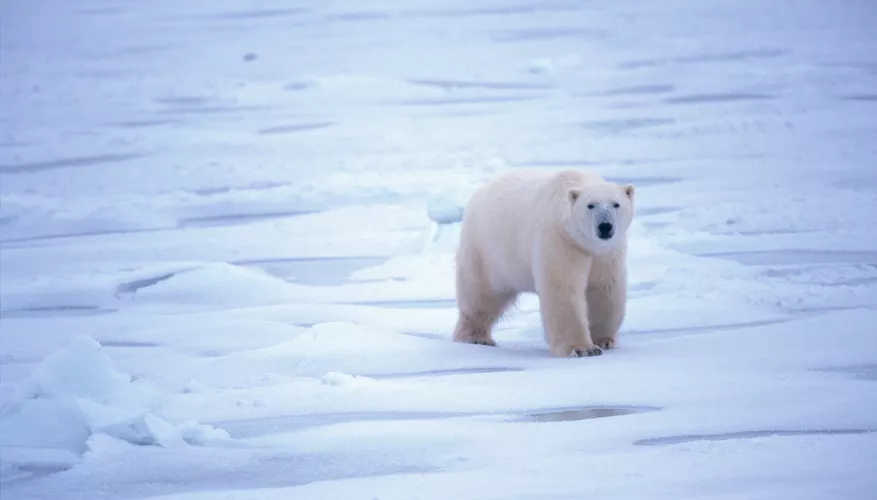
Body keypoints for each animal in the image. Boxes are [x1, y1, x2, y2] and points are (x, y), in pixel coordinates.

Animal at [456, 170, 632, 358]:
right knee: (481, 295)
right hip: (488, 251)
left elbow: (604, 289)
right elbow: (563, 288)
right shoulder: (560, 239)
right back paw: (475, 337)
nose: (605, 226)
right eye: (590, 205)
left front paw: (604, 340)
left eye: (616, 204)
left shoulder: (607, 253)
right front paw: (582, 348)